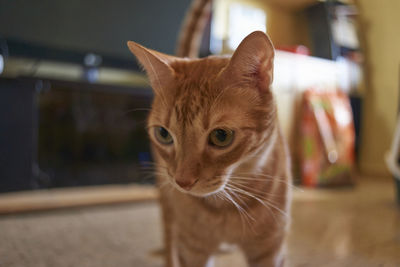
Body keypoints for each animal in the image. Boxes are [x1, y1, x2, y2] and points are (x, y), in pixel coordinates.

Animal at [127, 3, 290, 267]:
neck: (226, 207)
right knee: (169, 236)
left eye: (221, 136)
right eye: (164, 134)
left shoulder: (271, 249)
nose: (182, 182)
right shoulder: (192, 249)